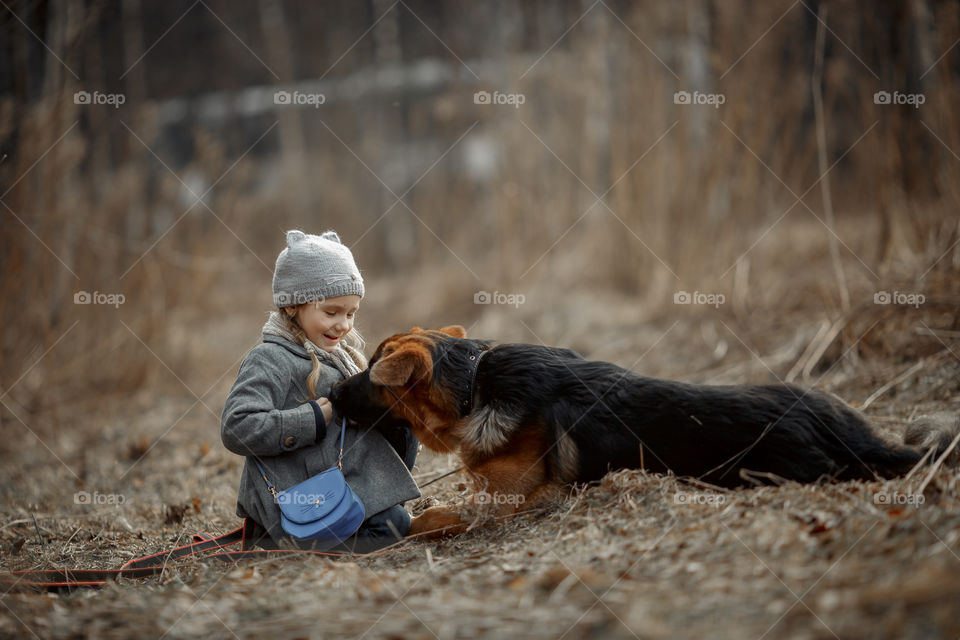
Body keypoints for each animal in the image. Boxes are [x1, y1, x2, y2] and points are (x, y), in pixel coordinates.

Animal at [332, 328, 960, 536]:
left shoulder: (511, 500)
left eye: (370, 373)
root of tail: (834, 425)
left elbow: (434, 516)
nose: (331, 397)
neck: (474, 384)